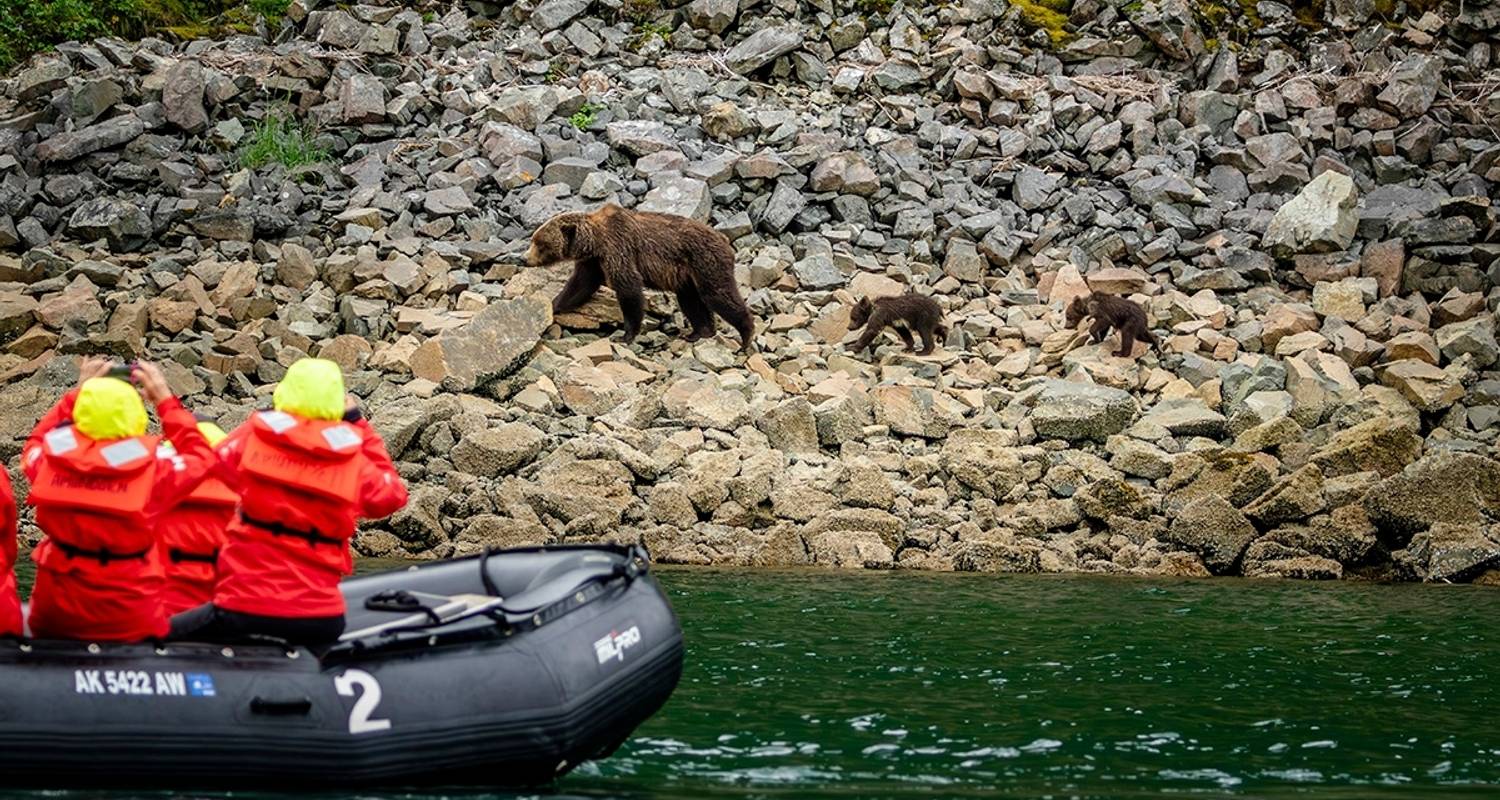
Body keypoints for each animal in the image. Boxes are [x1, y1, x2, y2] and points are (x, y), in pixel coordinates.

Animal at [531, 205, 762, 352]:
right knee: (691, 301)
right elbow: (579, 286)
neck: (595, 242)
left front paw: (625, 335)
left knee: (718, 294)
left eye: (540, 244)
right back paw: (698, 332)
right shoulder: (592, 262)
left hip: (706, 261)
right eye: (534, 239)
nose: (526, 259)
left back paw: (746, 336)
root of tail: (725, 240)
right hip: (688, 277)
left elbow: (629, 289)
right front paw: (552, 306)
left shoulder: (618, 249)